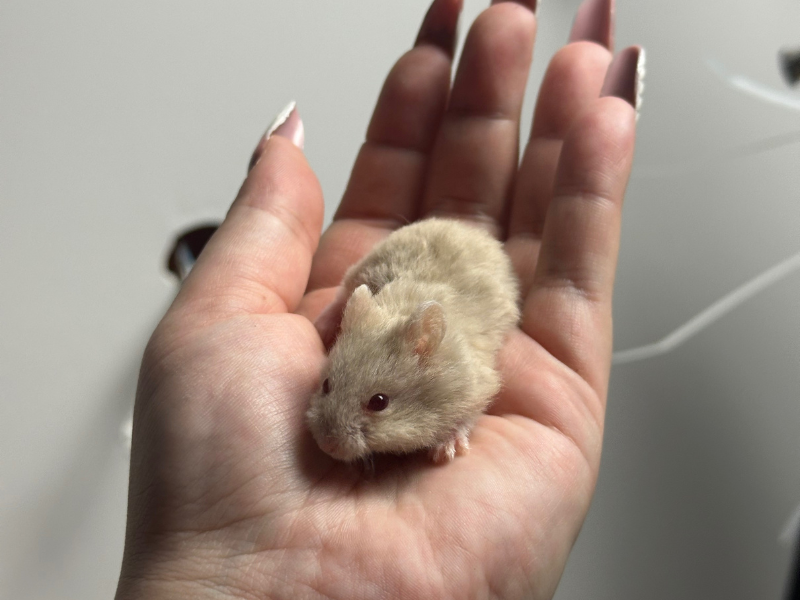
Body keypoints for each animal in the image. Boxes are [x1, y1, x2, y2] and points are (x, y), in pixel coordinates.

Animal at [306, 218, 519, 463]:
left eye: (379, 402)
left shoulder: (479, 387)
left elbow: (467, 418)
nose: (326, 446)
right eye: (326, 384)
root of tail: (460, 225)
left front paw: (446, 453)